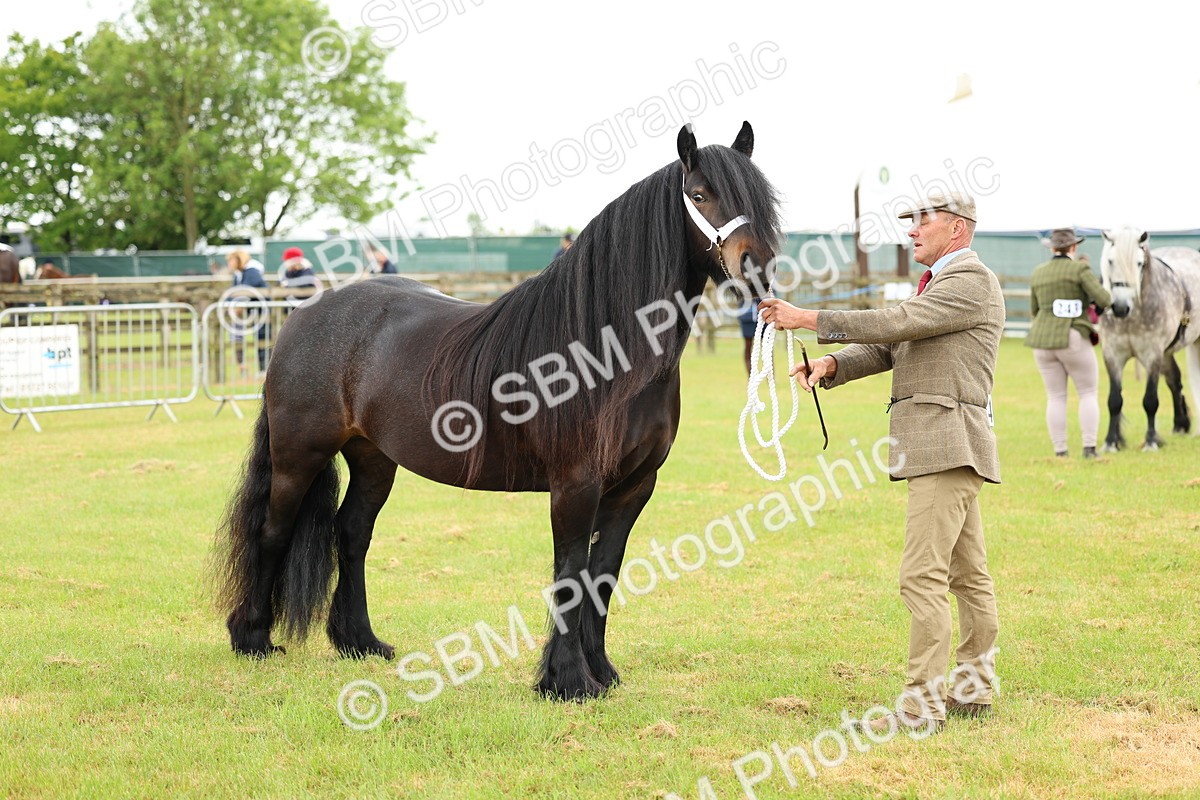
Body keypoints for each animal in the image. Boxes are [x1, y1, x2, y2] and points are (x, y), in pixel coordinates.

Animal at [213, 122, 783, 700]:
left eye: (763, 199)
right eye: (699, 195)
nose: (756, 269)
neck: (609, 352)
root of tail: (302, 315)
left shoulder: (634, 487)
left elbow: (602, 574)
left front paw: (601, 673)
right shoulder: (575, 484)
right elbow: (571, 573)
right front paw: (567, 681)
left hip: (373, 458)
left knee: (351, 533)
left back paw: (360, 642)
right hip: (297, 456)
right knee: (273, 531)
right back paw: (253, 639)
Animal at [1098, 225, 1200, 451]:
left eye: (1139, 263)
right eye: (1110, 261)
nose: (1120, 307)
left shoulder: (1152, 355)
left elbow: (1150, 400)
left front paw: (1151, 441)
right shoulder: (1112, 355)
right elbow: (1114, 401)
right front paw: (1111, 442)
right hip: (1167, 353)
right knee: (1174, 381)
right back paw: (1180, 425)